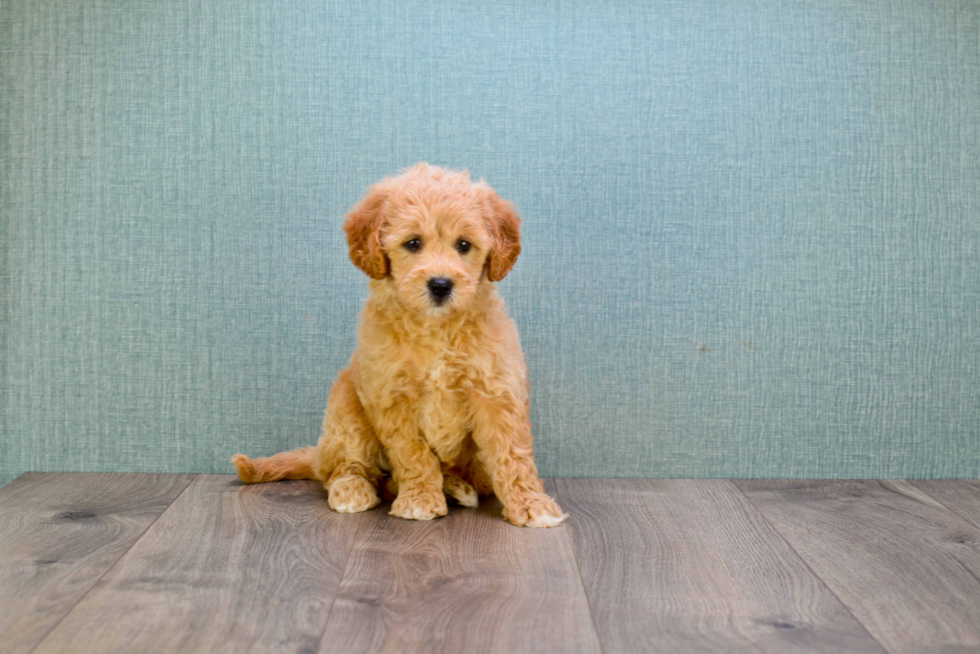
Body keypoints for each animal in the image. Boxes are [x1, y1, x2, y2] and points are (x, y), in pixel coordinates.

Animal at [232, 163, 568, 528]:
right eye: (413, 243)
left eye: (464, 245)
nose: (440, 284)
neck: (435, 329)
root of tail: (319, 455)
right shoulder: (390, 396)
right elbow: (413, 454)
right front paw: (419, 499)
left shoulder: (495, 391)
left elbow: (512, 454)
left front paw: (531, 503)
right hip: (345, 409)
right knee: (343, 468)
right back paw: (353, 489)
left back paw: (456, 487)